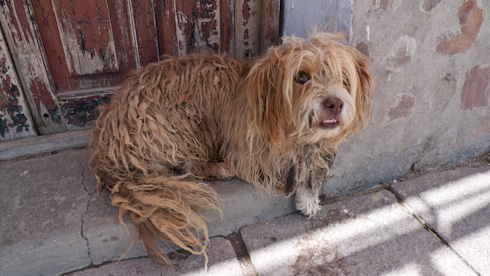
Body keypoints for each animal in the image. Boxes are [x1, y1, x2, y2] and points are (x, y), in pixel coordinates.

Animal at [90, 31, 374, 264]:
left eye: (343, 78)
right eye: (301, 76)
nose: (334, 103)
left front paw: (308, 196)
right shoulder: (251, 153)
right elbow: (291, 162)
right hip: (184, 122)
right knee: (190, 169)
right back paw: (219, 169)